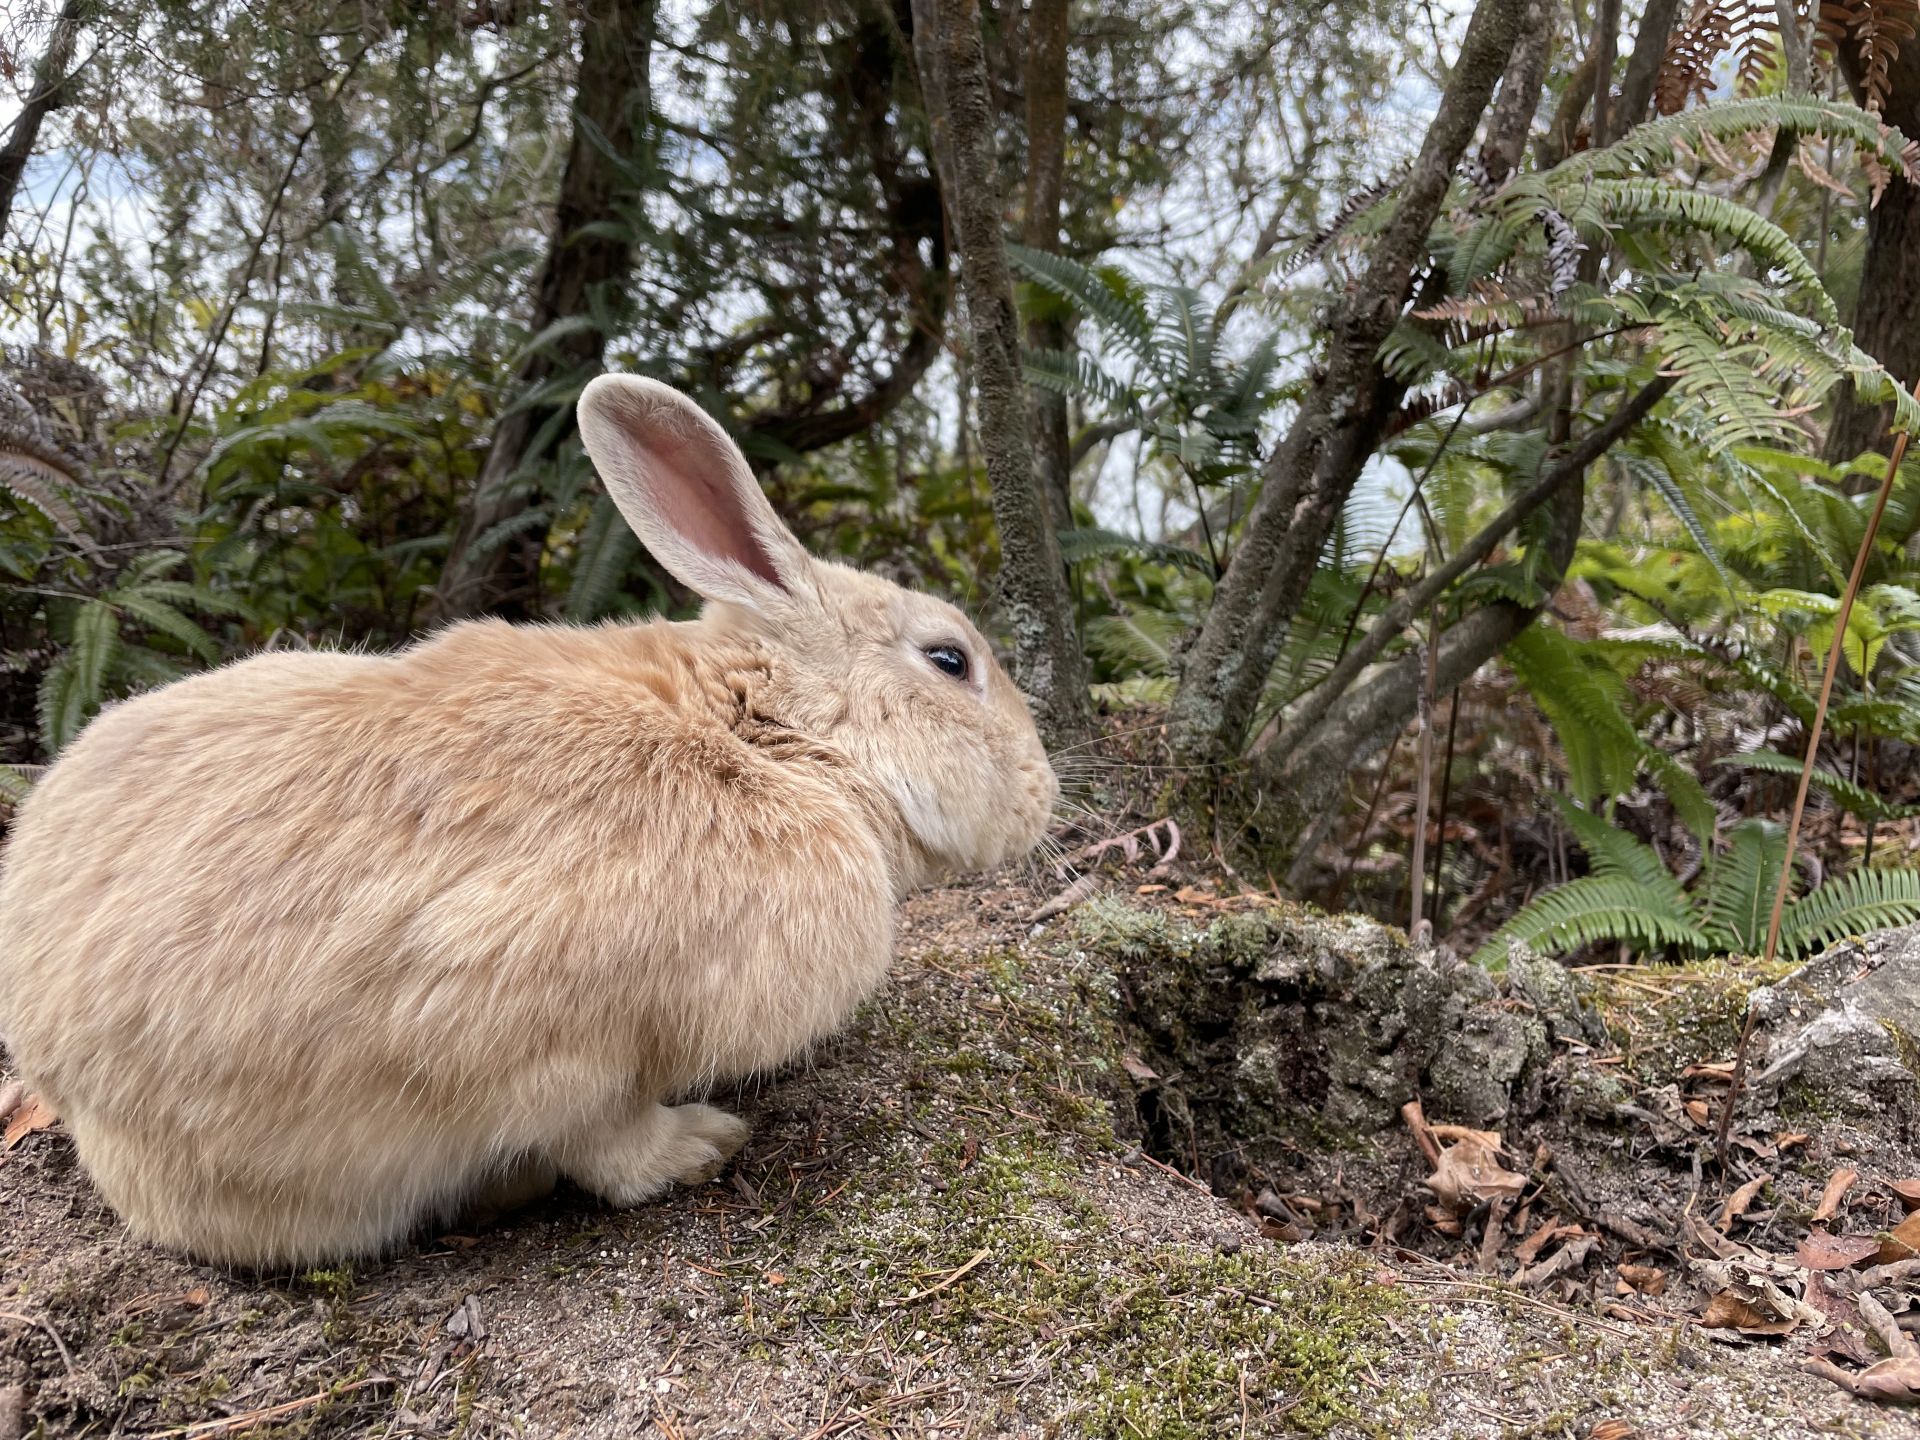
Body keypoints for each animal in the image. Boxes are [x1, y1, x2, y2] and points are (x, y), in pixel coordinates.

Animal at [0, 378, 1059, 1267]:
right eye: (951, 660)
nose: (1045, 793)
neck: (764, 737)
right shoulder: (557, 1044)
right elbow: (606, 1141)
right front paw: (703, 1146)